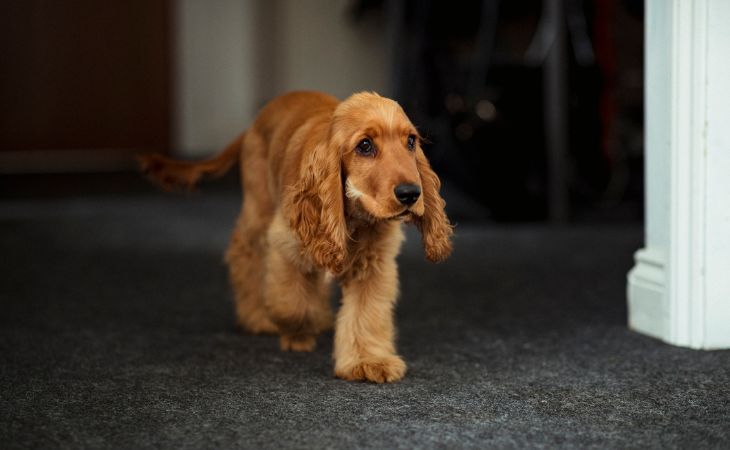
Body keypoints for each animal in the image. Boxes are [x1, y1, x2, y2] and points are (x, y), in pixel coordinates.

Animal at [138, 90, 450, 384]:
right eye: (365, 146)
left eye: (410, 142)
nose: (411, 194)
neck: (355, 217)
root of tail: (256, 120)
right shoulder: (287, 242)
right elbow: (292, 303)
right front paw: (298, 332)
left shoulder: (373, 264)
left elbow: (366, 314)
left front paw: (368, 361)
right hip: (259, 207)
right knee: (246, 255)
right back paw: (258, 316)